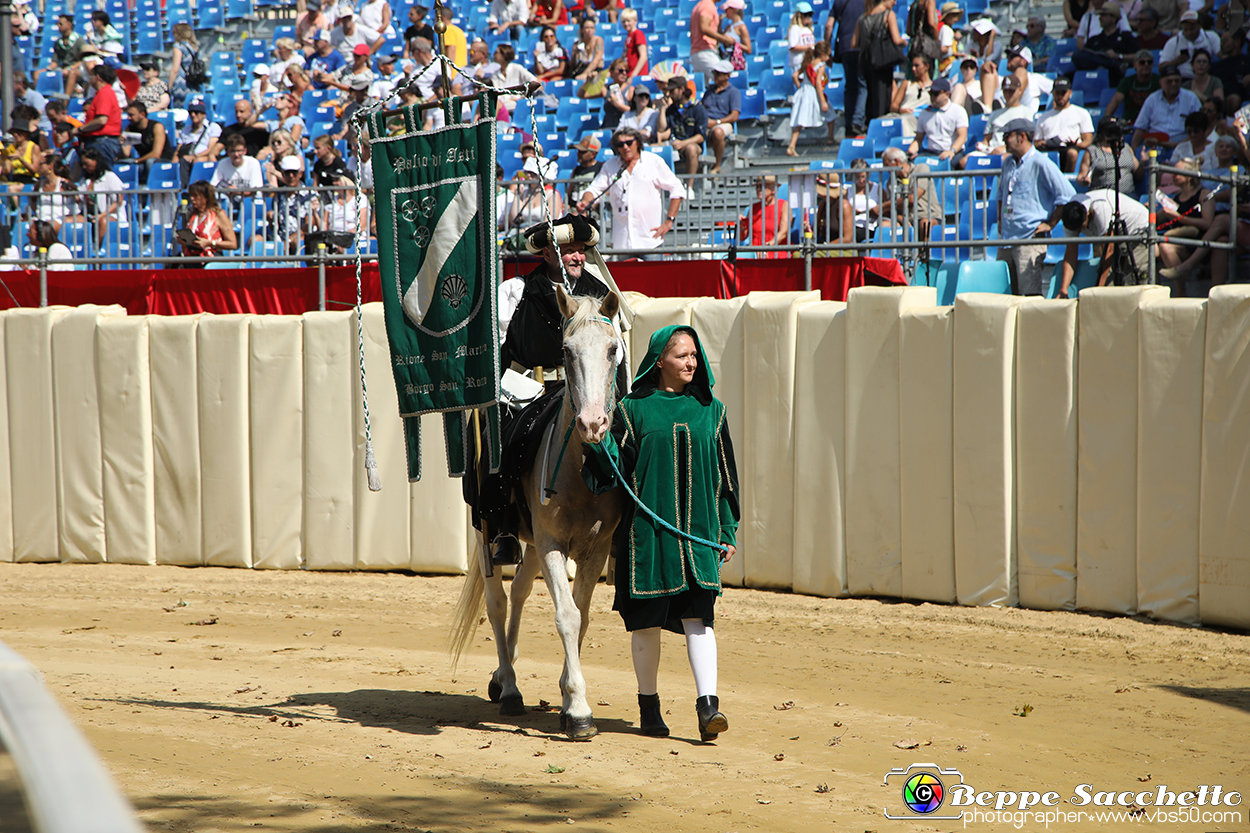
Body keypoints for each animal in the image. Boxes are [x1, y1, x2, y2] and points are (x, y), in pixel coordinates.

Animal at [450, 288, 625, 735]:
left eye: (612, 349)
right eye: (566, 350)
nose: (592, 423)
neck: (581, 471)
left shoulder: (596, 549)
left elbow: (582, 615)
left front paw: (566, 695)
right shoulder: (551, 544)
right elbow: (566, 615)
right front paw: (578, 709)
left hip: (527, 542)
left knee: (519, 591)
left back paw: (502, 676)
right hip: (487, 533)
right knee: (497, 602)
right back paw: (510, 687)